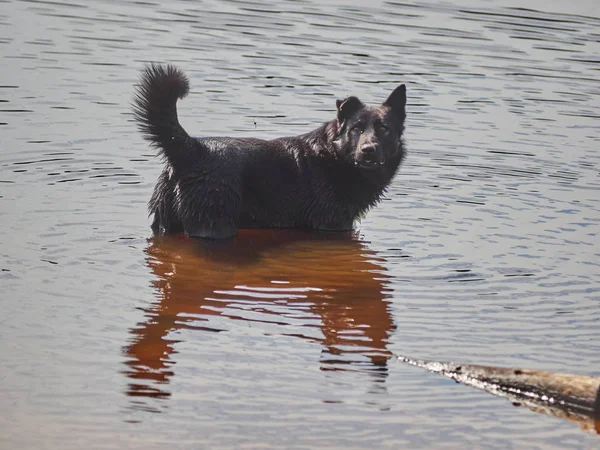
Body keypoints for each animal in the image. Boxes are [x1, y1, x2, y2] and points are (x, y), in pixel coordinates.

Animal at [134, 65, 408, 239]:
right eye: (356, 128)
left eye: (383, 128)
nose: (368, 150)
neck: (334, 156)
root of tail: (192, 148)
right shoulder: (332, 224)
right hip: (214, 225)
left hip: (165, 222)